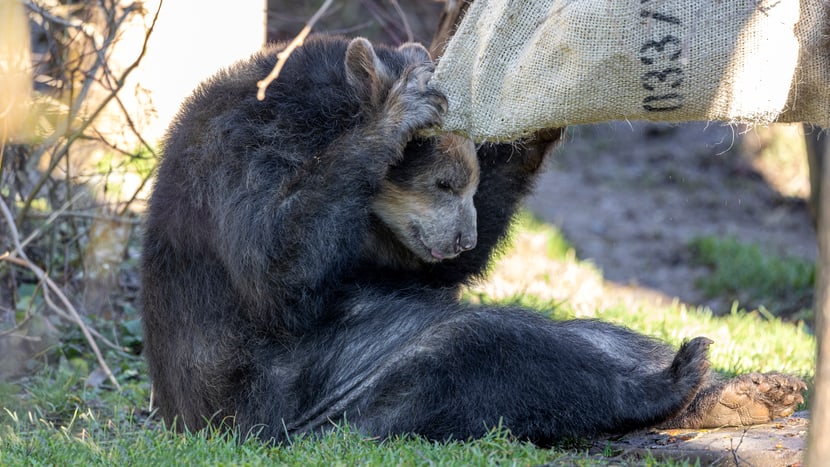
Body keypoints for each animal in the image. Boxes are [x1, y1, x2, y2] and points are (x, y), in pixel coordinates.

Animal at [141, 34, 808, 444]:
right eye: (443, 182)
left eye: (468, 184)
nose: (462, 237)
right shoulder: (246, 155)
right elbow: (275, 269)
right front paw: (401, 111)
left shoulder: (379, 239)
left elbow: (417, 271)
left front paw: (540, 111)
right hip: (323, 395)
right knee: (485, 351)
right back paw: (673, 380)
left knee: (596, 335)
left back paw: (744, 391)